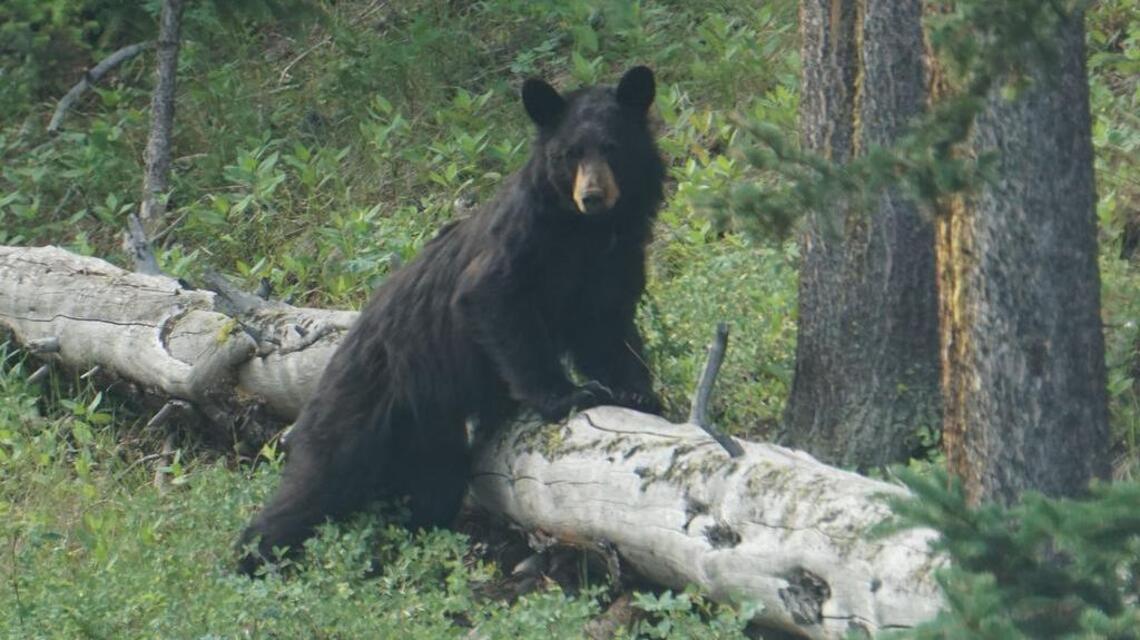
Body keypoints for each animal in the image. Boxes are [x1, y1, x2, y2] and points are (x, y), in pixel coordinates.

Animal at [237, 66, 665, 575]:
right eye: (569, 154)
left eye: (612, 147)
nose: (593, 196)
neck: (588, 233)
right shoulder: (525, 241)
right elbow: (491, 298)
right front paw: (567, 395)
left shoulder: (615, 262)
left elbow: (607, 328)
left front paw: (640, 393)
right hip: (363, 403)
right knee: (316, 481)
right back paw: (252, 558)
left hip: (429, 433)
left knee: (432, 489)